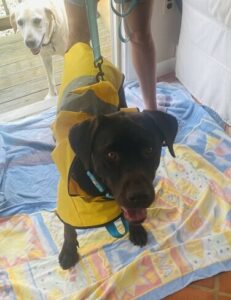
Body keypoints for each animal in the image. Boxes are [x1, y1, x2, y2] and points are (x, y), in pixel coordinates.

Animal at [58, 109, 178, 270]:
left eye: (149, 149)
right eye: (111, 155)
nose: (140, 196)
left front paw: (136, 229)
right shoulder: (69, 202)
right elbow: (68, 227)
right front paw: (68, 250)